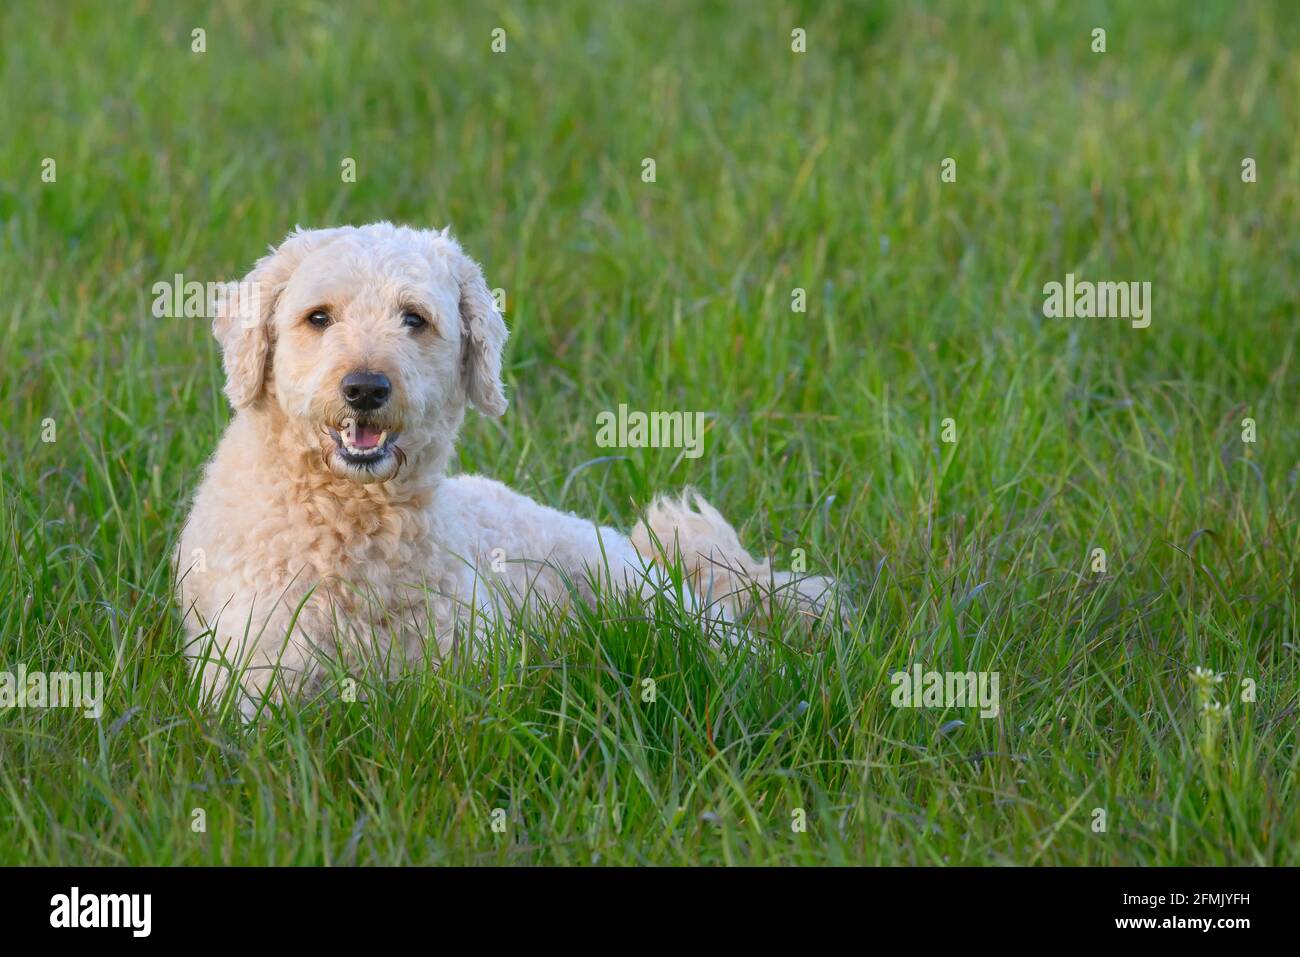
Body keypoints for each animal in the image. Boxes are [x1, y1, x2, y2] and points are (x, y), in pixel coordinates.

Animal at [175, 222, 832, 717]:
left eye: (414, 318)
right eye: (318, 317)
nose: (365, 388)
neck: (352, 523)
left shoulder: (464, 679)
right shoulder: (253, 682)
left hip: (647, 600)